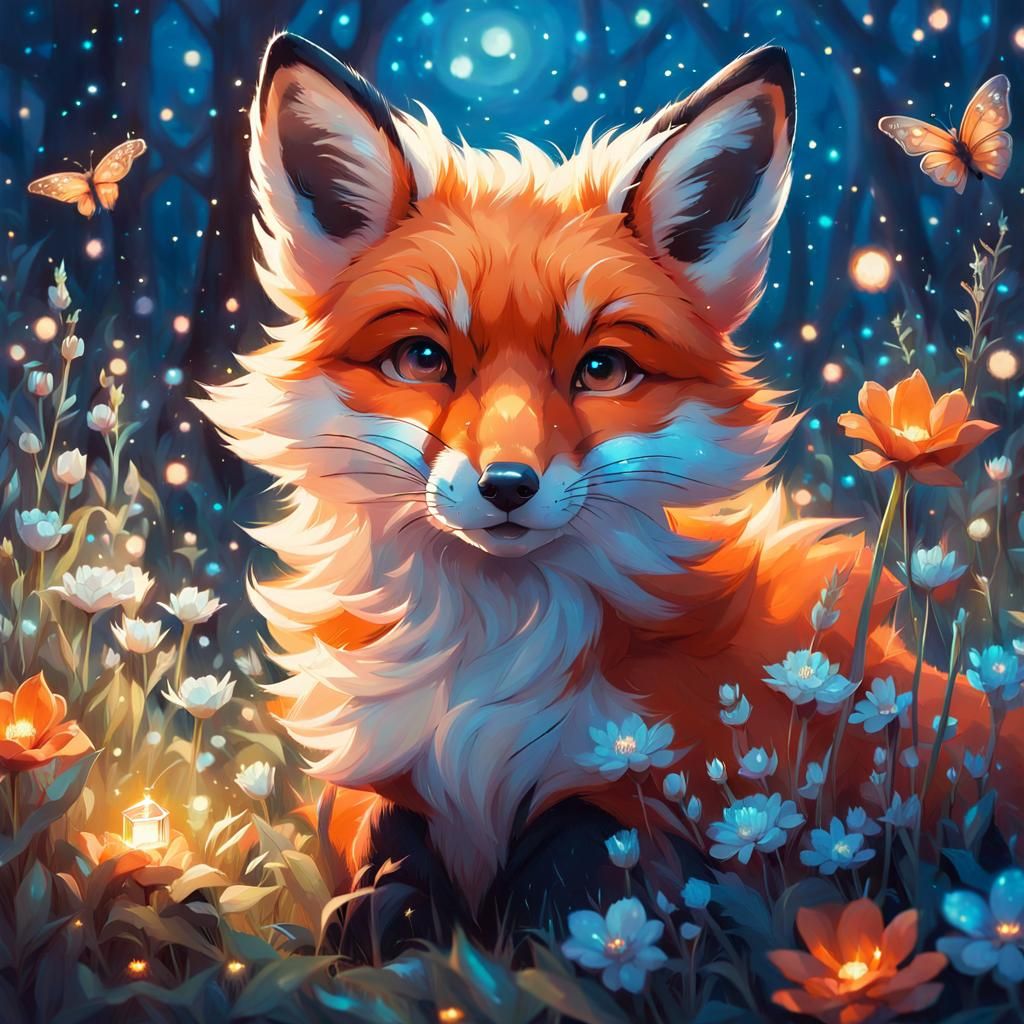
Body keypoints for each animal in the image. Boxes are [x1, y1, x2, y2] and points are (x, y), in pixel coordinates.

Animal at [198, 33, 1010, 935]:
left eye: (603, 369)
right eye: (421, 358)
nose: (507, 485)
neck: (492, 678)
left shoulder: (641, 815)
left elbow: (584, 897)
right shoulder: (397, 805)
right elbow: (380, 902)